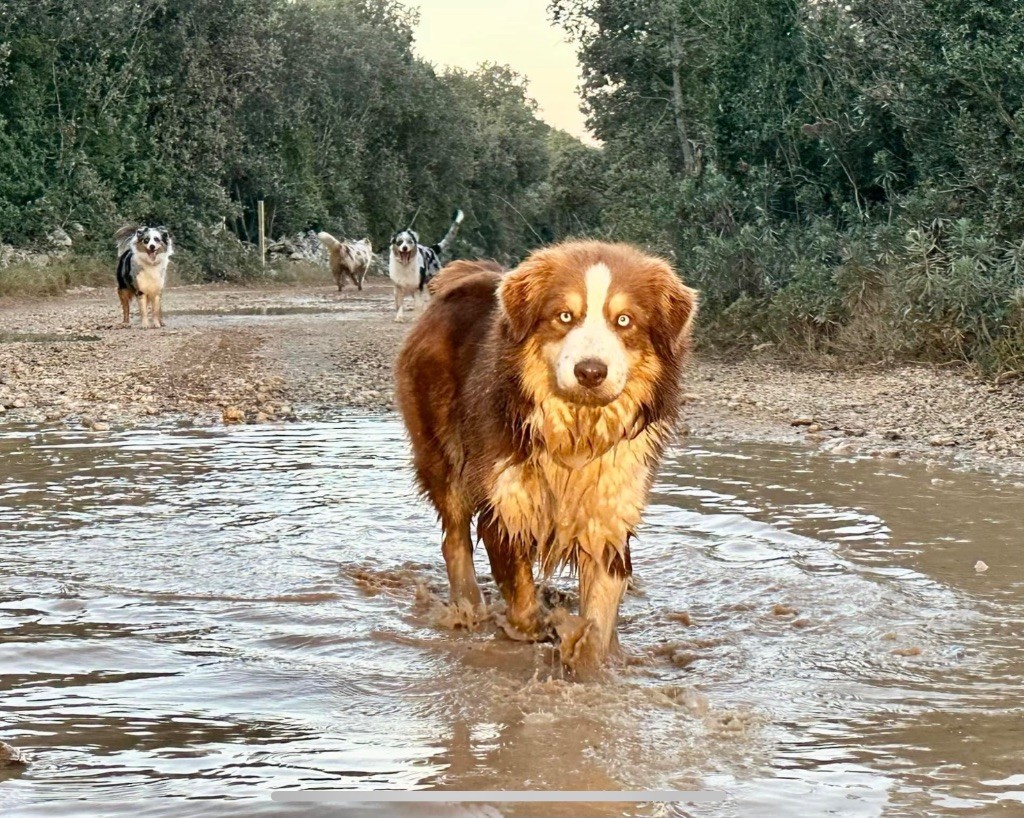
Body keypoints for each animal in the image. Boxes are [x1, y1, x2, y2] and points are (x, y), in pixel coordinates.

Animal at [391, 239, 696, 675]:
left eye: (624, 321)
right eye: (564, 316)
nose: (590, 371)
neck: (577, 434)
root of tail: (467, 277)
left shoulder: (610, 514)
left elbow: (598, 618)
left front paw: (589, 664)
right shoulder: (505, 505)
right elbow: (521, 600)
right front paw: (536, 629)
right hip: (444, 455)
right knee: (454, 538)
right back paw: (470, 607)